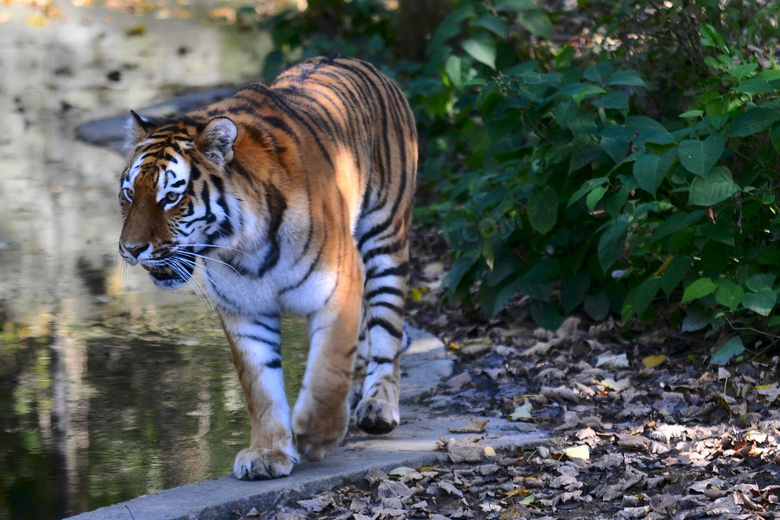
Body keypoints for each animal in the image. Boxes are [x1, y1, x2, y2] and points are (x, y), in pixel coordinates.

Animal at [116, 55, 418, 480]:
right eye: (129, 194)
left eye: (170, 198)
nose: (130, 249)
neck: (245, 246)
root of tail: (356, 60)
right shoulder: (244, 311)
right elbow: (260, 387)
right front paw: (268, 453)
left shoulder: (339, 287)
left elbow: (327, 369)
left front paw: (316, 435)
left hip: (385, 238)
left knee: (386, 330)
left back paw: (378, 406)